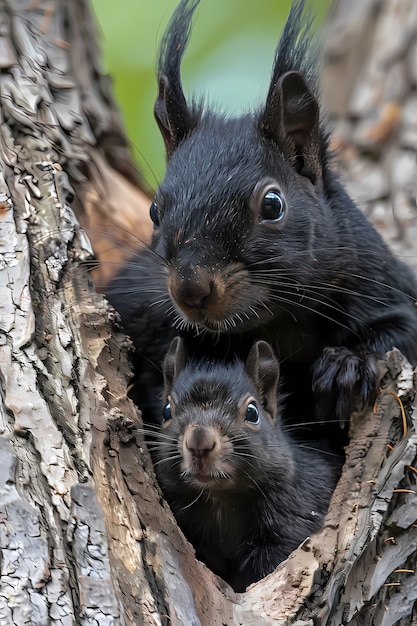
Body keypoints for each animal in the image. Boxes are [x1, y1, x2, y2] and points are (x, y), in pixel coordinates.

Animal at [105, 0, 417, 424]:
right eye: (155, 211)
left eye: (273, 205)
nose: (189, 288)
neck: (279, 324)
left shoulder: (382, 281)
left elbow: (403, 328)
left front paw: (347, 365)